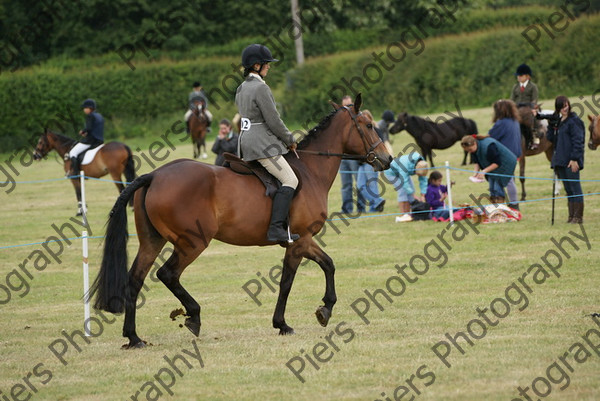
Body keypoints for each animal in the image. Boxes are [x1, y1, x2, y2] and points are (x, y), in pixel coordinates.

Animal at [86, 94, 392, 346]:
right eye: (367, 125)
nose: (387, 159)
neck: (309, 169)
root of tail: (154, 175)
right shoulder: (300, 240)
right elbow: (294, 279)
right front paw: (293, 320)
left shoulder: (301, 241)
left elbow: (321, 267)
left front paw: (315, 311)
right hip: (192, 243)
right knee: (167, 274)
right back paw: (193, 316)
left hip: (152, 241)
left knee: (135, 281)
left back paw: (134, 337)